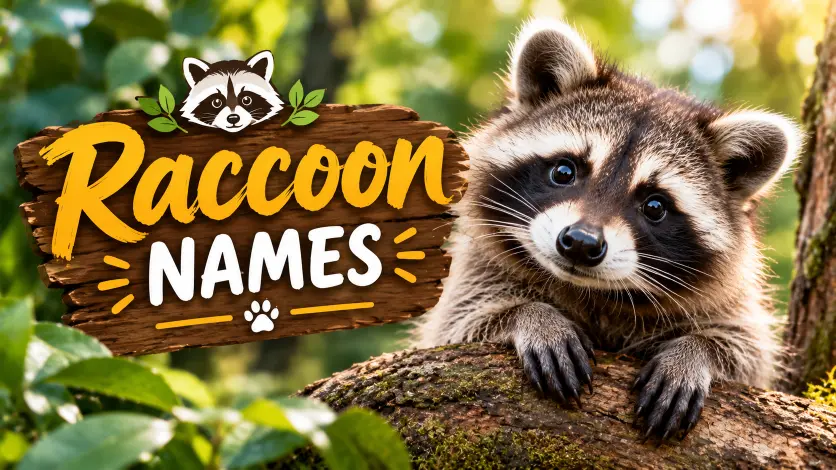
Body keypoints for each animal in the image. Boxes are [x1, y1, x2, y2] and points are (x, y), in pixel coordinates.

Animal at [414, 18, 800, 441]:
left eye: (654, 206)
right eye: (564, 171)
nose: (581, 244)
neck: (592, 292)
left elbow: (748, 352)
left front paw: (696, 350)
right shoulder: (476, 276)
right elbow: (459, 322)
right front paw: (530, 315)